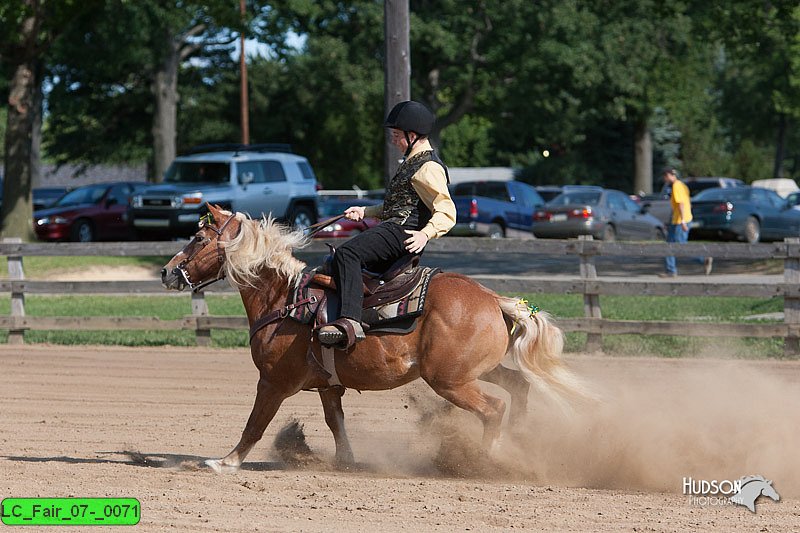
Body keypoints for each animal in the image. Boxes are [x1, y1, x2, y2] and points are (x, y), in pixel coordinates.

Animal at [161, 203, 588, 470]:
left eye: (198, 239)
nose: (166, 272)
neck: (284, 298)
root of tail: (493, 298)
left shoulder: (273, 382)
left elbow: (255, 424)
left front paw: (225, 462)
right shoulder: (328, 386)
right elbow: (336, 423)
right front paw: (346, 462)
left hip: (449, 380)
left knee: (493, 409)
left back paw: (487, 459)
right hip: (475, 370)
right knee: (518, 386)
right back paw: (519, 438)